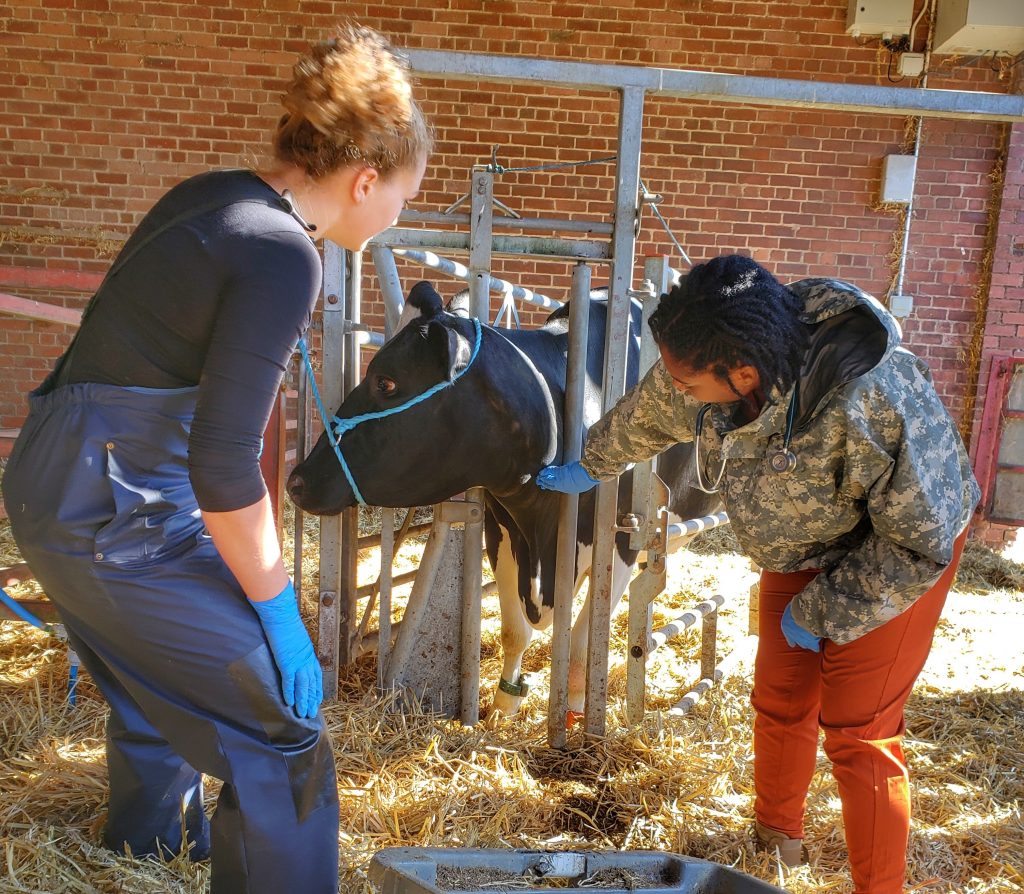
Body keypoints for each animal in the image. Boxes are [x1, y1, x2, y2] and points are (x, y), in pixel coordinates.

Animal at [286, 284, 720, 716]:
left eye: (386, 383)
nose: (295, 481)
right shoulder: (501, 528)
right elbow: (515, 630)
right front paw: (502, 705)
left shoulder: (622, 535)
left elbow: (583, 644)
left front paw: (576, 711)